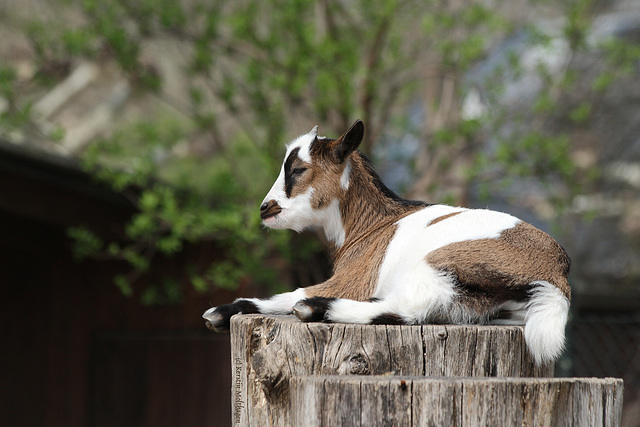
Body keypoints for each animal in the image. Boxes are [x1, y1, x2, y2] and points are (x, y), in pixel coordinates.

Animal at [204, 119, 568, 364]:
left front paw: (220, 312)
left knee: (412, 309)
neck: (372, 226)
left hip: (445, 262)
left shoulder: (355, 279)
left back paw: (315, 308)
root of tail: (557, 279)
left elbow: (293, 292)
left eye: (298, 169)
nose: (265, 209)